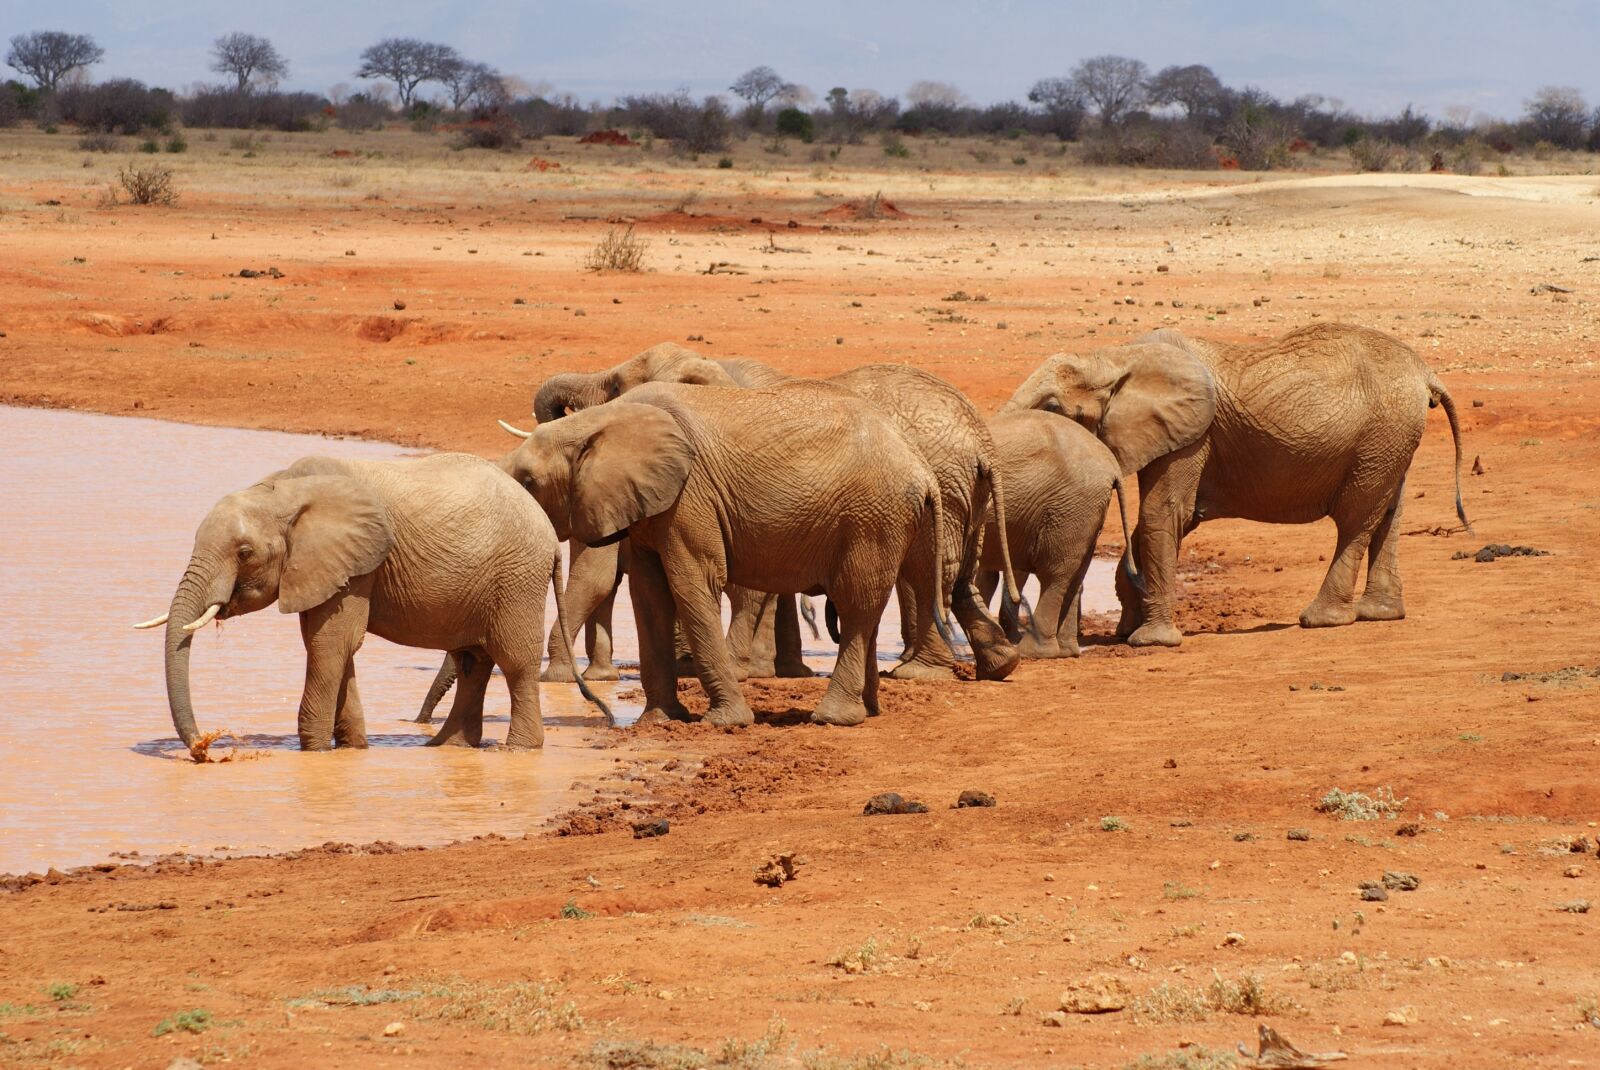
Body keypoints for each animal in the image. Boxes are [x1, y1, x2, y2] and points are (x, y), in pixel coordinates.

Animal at [132, 453, 601, 752]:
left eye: (244, 553)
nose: (202, 746)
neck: (284, 491)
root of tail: (549, 534)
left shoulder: (357, 565)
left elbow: (330, 646)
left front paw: (315, 751)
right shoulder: (329, 570)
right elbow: (336, 648)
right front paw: (353, 748)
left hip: (517, 577)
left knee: (514, 662)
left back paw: (518, 750)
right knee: (473, 661)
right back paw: (445, 747)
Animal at [498, 379, 944, 728]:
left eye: (529, 481)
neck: (599, 420)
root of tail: (921, 466)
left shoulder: (689, 496)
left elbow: (691, 585)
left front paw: (726, 722)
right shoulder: (651, 507)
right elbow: (650, 596)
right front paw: (659, 722)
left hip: (873, 515)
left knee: (856, 605)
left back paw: (833, 718)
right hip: (883, 517)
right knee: (868, 607)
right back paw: (869, 710)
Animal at [533, 343, 1022, 682]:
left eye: (616, 387)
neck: (710, 365)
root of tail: (982, 441)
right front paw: (778, 670)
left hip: (936, 485)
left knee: (931, 573)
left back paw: (918, 672)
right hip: (965, 496)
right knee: (957, 576)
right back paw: (999, 664)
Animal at [976, 409, 1135, 658]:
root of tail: (1112, 465)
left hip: (1071, 507)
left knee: (1055, 575)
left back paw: (1033, 651)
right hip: (1086, 510)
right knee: (1075, 574)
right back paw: (1066, 650)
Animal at [1000, 322, 1469, 646]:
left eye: (1052, 407)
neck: (1115, 357)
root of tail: (1425, 372)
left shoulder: (1194, 434)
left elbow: (1163, 513)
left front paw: (1149, 642)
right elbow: (1167, 519)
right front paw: (1126, 628)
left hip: (1382, 434)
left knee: (1356, 518)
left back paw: (1320, 620)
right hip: (1391, 438)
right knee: (1388, 511)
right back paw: (1380, 614)